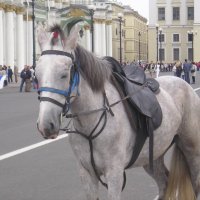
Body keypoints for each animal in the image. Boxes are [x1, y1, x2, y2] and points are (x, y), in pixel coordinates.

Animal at [36, 23, 200, 200]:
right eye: (36, 74)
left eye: (64, 74)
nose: (46, 125)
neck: (91, 124)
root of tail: (182, 81)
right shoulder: (86, 173)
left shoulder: (114, 174)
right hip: (153, 155)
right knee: (164, 184)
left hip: (192, 150)